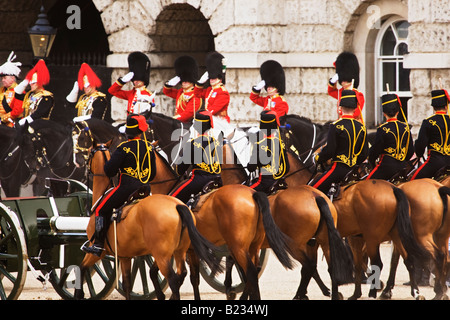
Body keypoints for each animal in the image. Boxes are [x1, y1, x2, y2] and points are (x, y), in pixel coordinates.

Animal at [75, 142, 223, 300]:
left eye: (90, 154)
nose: (85, 168)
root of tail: (177, 206)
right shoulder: (127, 255)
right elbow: (193, 278)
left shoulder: (97, 251)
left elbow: (82, 268)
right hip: (177, 251)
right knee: (181, 274)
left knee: (172, 279)